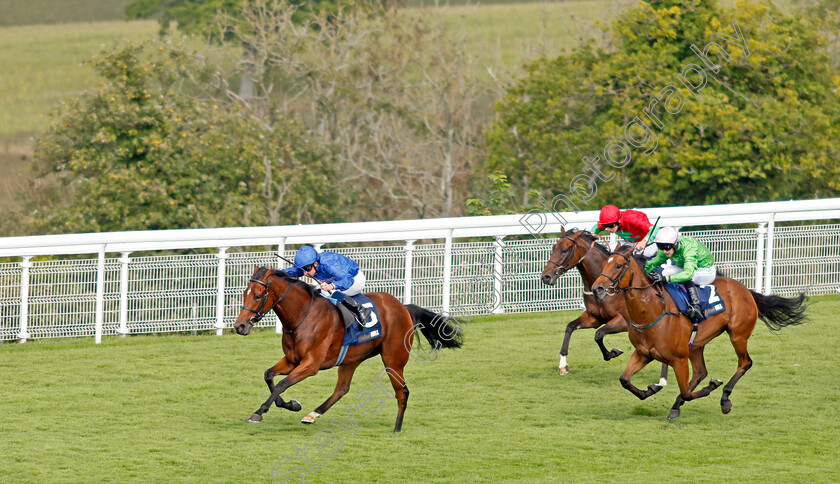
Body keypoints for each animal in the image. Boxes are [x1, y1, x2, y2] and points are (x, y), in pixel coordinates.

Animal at [233, 268, 462, 432]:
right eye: (244, 293)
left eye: (258, 295)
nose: (240, 326)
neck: (302, 316)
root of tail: (403, 307)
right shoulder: (292, 360)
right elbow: (269, 376)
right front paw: (291, 405)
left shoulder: (311, 365)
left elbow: (282, 384)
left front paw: (260, 412)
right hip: (352, 359)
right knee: (342, 389)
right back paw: (312, 415)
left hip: (393, 360)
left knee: (402, 391)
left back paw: (397, 429)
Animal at [544, 229, 668, 384]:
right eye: (554, 248)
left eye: (565, 250)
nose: (545, 276)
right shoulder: (594, 318)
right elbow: (570, 327)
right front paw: (563, 366)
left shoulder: (625, 322)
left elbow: (599, 334)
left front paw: (613, 353)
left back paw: (663, 379)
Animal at [592, 246, 808, 420]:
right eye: (603, 263)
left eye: (618, 265)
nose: (597, 288)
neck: (652, 310)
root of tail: (745, 289)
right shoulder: (644, 353)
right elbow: (625, 380)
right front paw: (650, 390)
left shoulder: (678, 359)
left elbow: (687, 392)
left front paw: (713, 387)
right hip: (697, 344)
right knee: (700, 372)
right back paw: (677, 405)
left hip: (738, 335)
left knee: (744, 363)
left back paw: (724, 398)